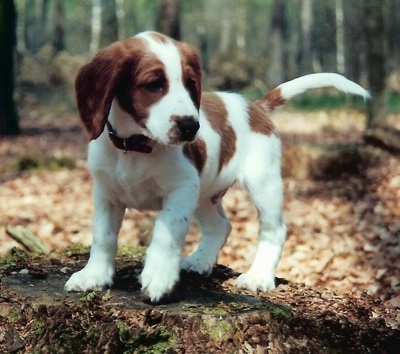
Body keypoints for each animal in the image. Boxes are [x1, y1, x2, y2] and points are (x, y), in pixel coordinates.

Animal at [65, 31, 368, 302]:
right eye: (154, 84)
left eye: (191, 84)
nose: (191, 126)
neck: (136, 146)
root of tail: (255, 107)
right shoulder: (107, 193)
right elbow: (103, 235)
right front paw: (93, 275)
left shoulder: (182, 188)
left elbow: (165, 229)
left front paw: (159, 275)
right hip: (204, 194)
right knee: (221, 226)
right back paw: (200, 261)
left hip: (262, 183)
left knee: (274, 229)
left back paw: (259, 276)